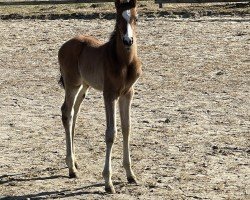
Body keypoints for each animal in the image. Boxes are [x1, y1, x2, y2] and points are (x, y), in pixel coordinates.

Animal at [57, 0, 142, 194]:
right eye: (118, 18)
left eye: (136, 18)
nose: (128, 41)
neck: (123, 62)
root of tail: (64, 45)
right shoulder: (109, 94)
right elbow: (111, 133)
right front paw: (108, 182)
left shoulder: (128, 93)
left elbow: (127, 128)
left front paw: (130, 174)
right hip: (72, 84)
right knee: (66, 112)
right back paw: (71, 168)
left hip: (84, 85)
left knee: (75, 112)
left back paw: (74, 162)